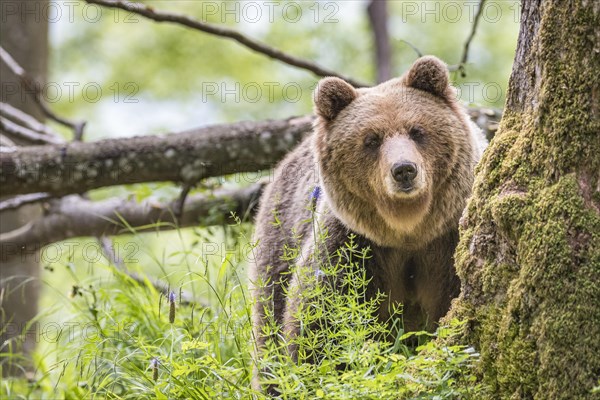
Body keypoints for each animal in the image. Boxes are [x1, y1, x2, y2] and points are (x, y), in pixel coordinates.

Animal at [250, 56, 488, 388]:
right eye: (372, 139)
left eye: (417, 130)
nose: (404, 170)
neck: (409, 230)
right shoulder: (353, 246)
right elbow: (321, 319)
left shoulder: (448, 240)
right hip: (280, 235)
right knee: (270, 315)